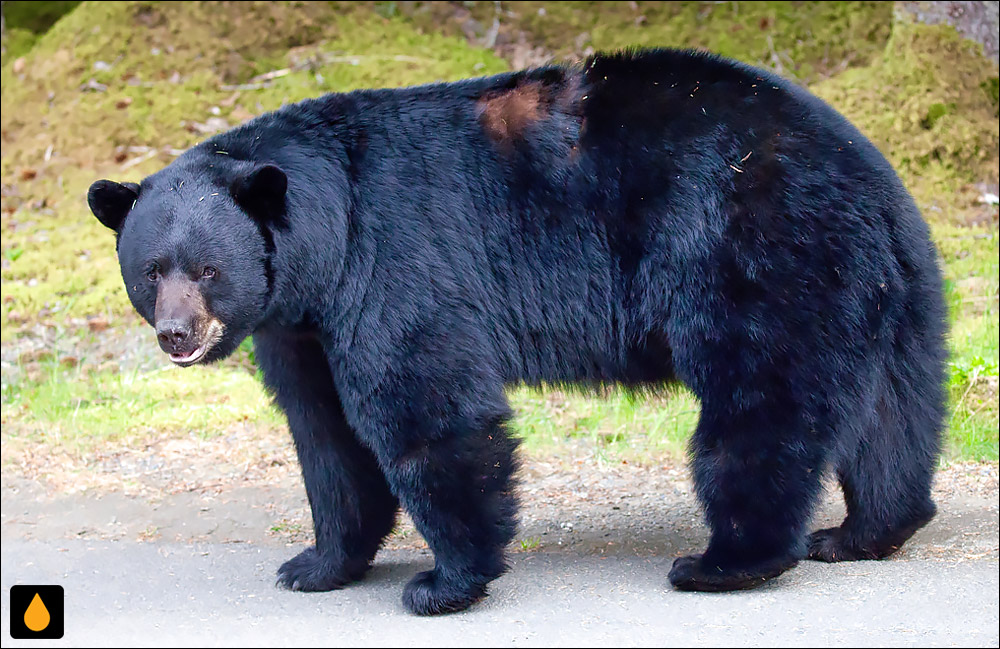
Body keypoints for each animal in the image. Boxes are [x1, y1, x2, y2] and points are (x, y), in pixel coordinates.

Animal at [88, 49, 944, 612]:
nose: (177, 334)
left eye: (207, 269)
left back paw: (727, 560)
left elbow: (427, 406)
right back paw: (866, 529)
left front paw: (444, 581)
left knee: (759, 402)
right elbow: (324, 434)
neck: (327, 233)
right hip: (887, 285)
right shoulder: (299, 325)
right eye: (150, 269)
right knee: (893, 408)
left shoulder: (391, 259)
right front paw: (315, 562)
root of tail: (869, 175)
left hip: (748, 247)